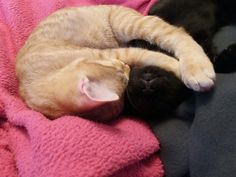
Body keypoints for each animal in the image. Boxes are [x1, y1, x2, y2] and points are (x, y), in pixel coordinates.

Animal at [15, 4, 216, 120]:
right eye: (123, 76)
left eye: (115, 67)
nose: (125, 67)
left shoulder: (112, 53)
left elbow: (148, 55)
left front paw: (176, 67)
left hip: (129, 25)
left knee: (177, 34)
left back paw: (195, 66)